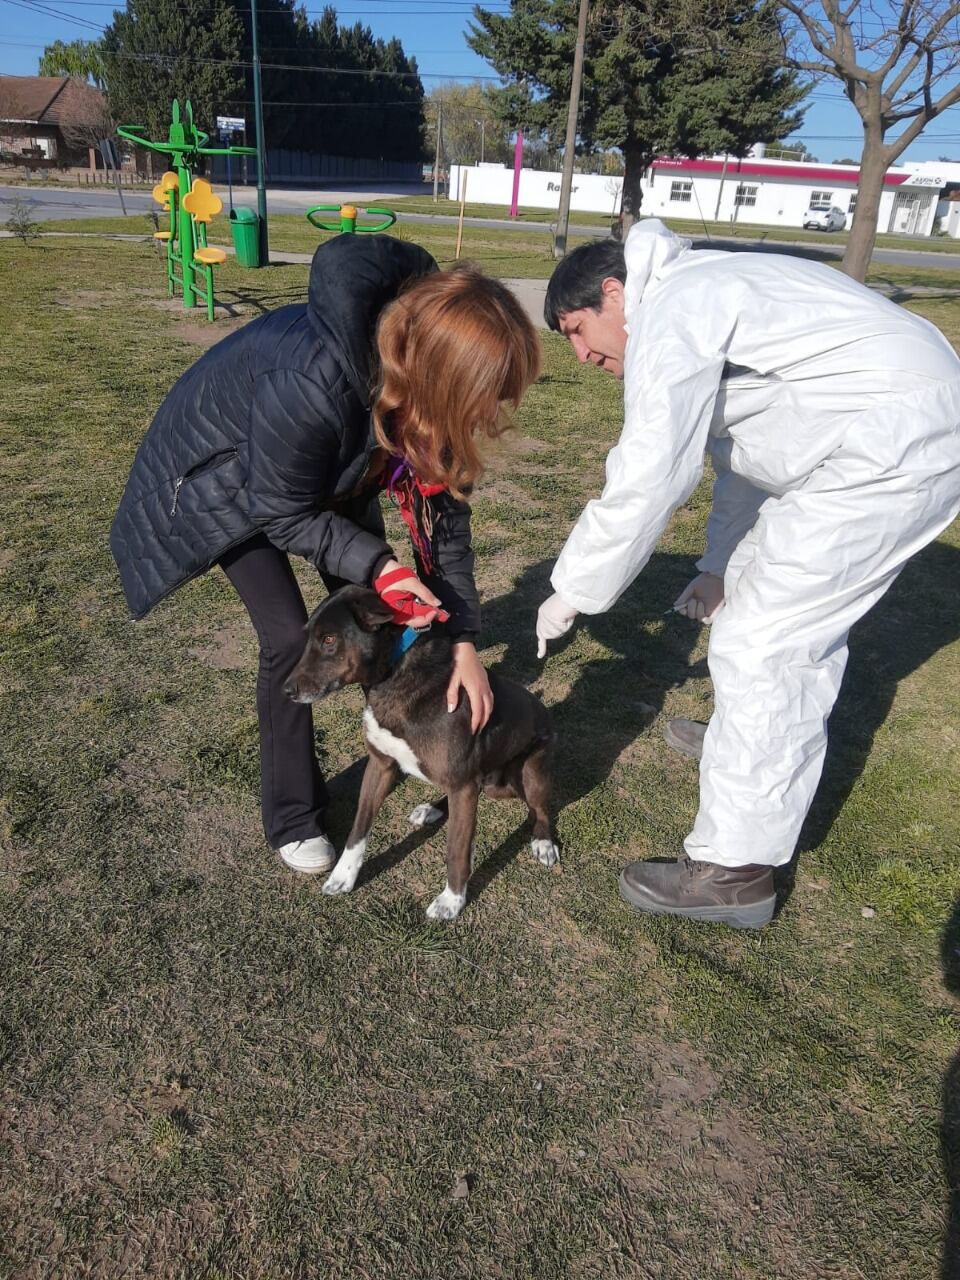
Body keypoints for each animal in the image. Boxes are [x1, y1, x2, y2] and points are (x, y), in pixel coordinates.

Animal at [281, 586, 560, 916]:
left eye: (328, 639)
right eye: (310, 636)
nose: (286, 691)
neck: (392, 680)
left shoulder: (462, 784)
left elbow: (457, 850)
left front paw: (452, 900)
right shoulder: (381, 765)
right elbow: (358, 828)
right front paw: (343, 876)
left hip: (528, 772)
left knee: (539, 809)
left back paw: (543, 842)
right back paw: (432, 809)